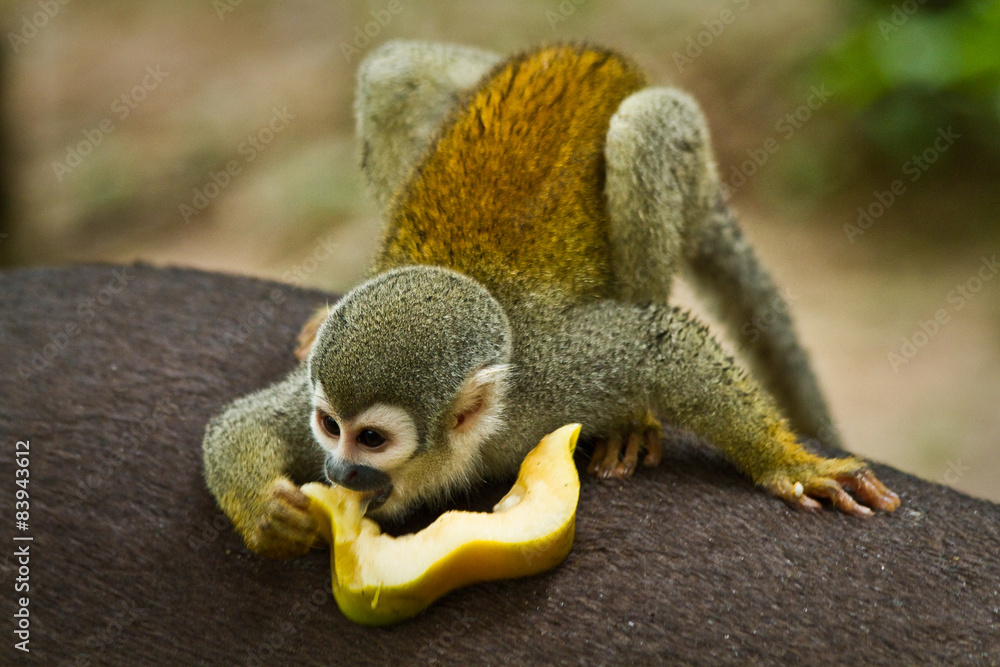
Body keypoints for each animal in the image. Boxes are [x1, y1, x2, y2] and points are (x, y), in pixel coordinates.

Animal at [202, 41, 900, 560]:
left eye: (371, 440)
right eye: (329, 427)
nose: (339, 474)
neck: (478, 438)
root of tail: (591, 53)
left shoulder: (556, 379)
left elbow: (663, 346)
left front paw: (791, 463)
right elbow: (242, 422)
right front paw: (264, 512)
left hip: (687, 156)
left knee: (645, 131)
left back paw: (635, 422)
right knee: (392, 75)